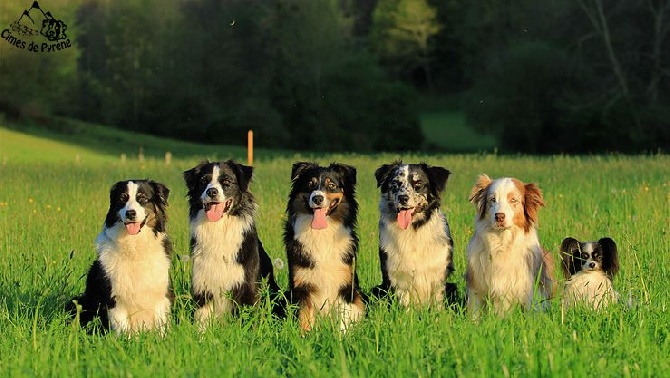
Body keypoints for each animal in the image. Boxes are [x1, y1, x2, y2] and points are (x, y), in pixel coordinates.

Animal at [67, 180, 173, 334]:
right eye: (122, 198)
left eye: (142, 198)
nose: (130, 213)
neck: (134, 247)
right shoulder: (115, 299)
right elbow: (124, 331)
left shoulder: (161, 295)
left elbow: (161, 328)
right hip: (77, 302)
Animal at [182, 159, 280, 328]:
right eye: (204, 181)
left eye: (227, 182)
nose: (212, 192)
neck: (219, 228)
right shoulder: (203, 287)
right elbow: (201, 323)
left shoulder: (248, 287)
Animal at [284, 162, 368, 330]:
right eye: (310, 184)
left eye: (332, 185)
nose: (317, 198)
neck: (322, 233)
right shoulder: (303, 287)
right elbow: (305, 320)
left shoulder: (344, 285)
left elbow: (343, 321)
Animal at [370, 162, 460, 308]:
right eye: (395, 183)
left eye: (418, 183)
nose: (403, 198)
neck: (413, 230)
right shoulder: (397, 274)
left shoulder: (439, 272)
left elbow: (438, 302)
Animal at [468, 175, 556, 316]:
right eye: (492, 199)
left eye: (513, 200)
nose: (499, 216)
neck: (502, 243)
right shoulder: (476, 284)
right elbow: (475, 311)